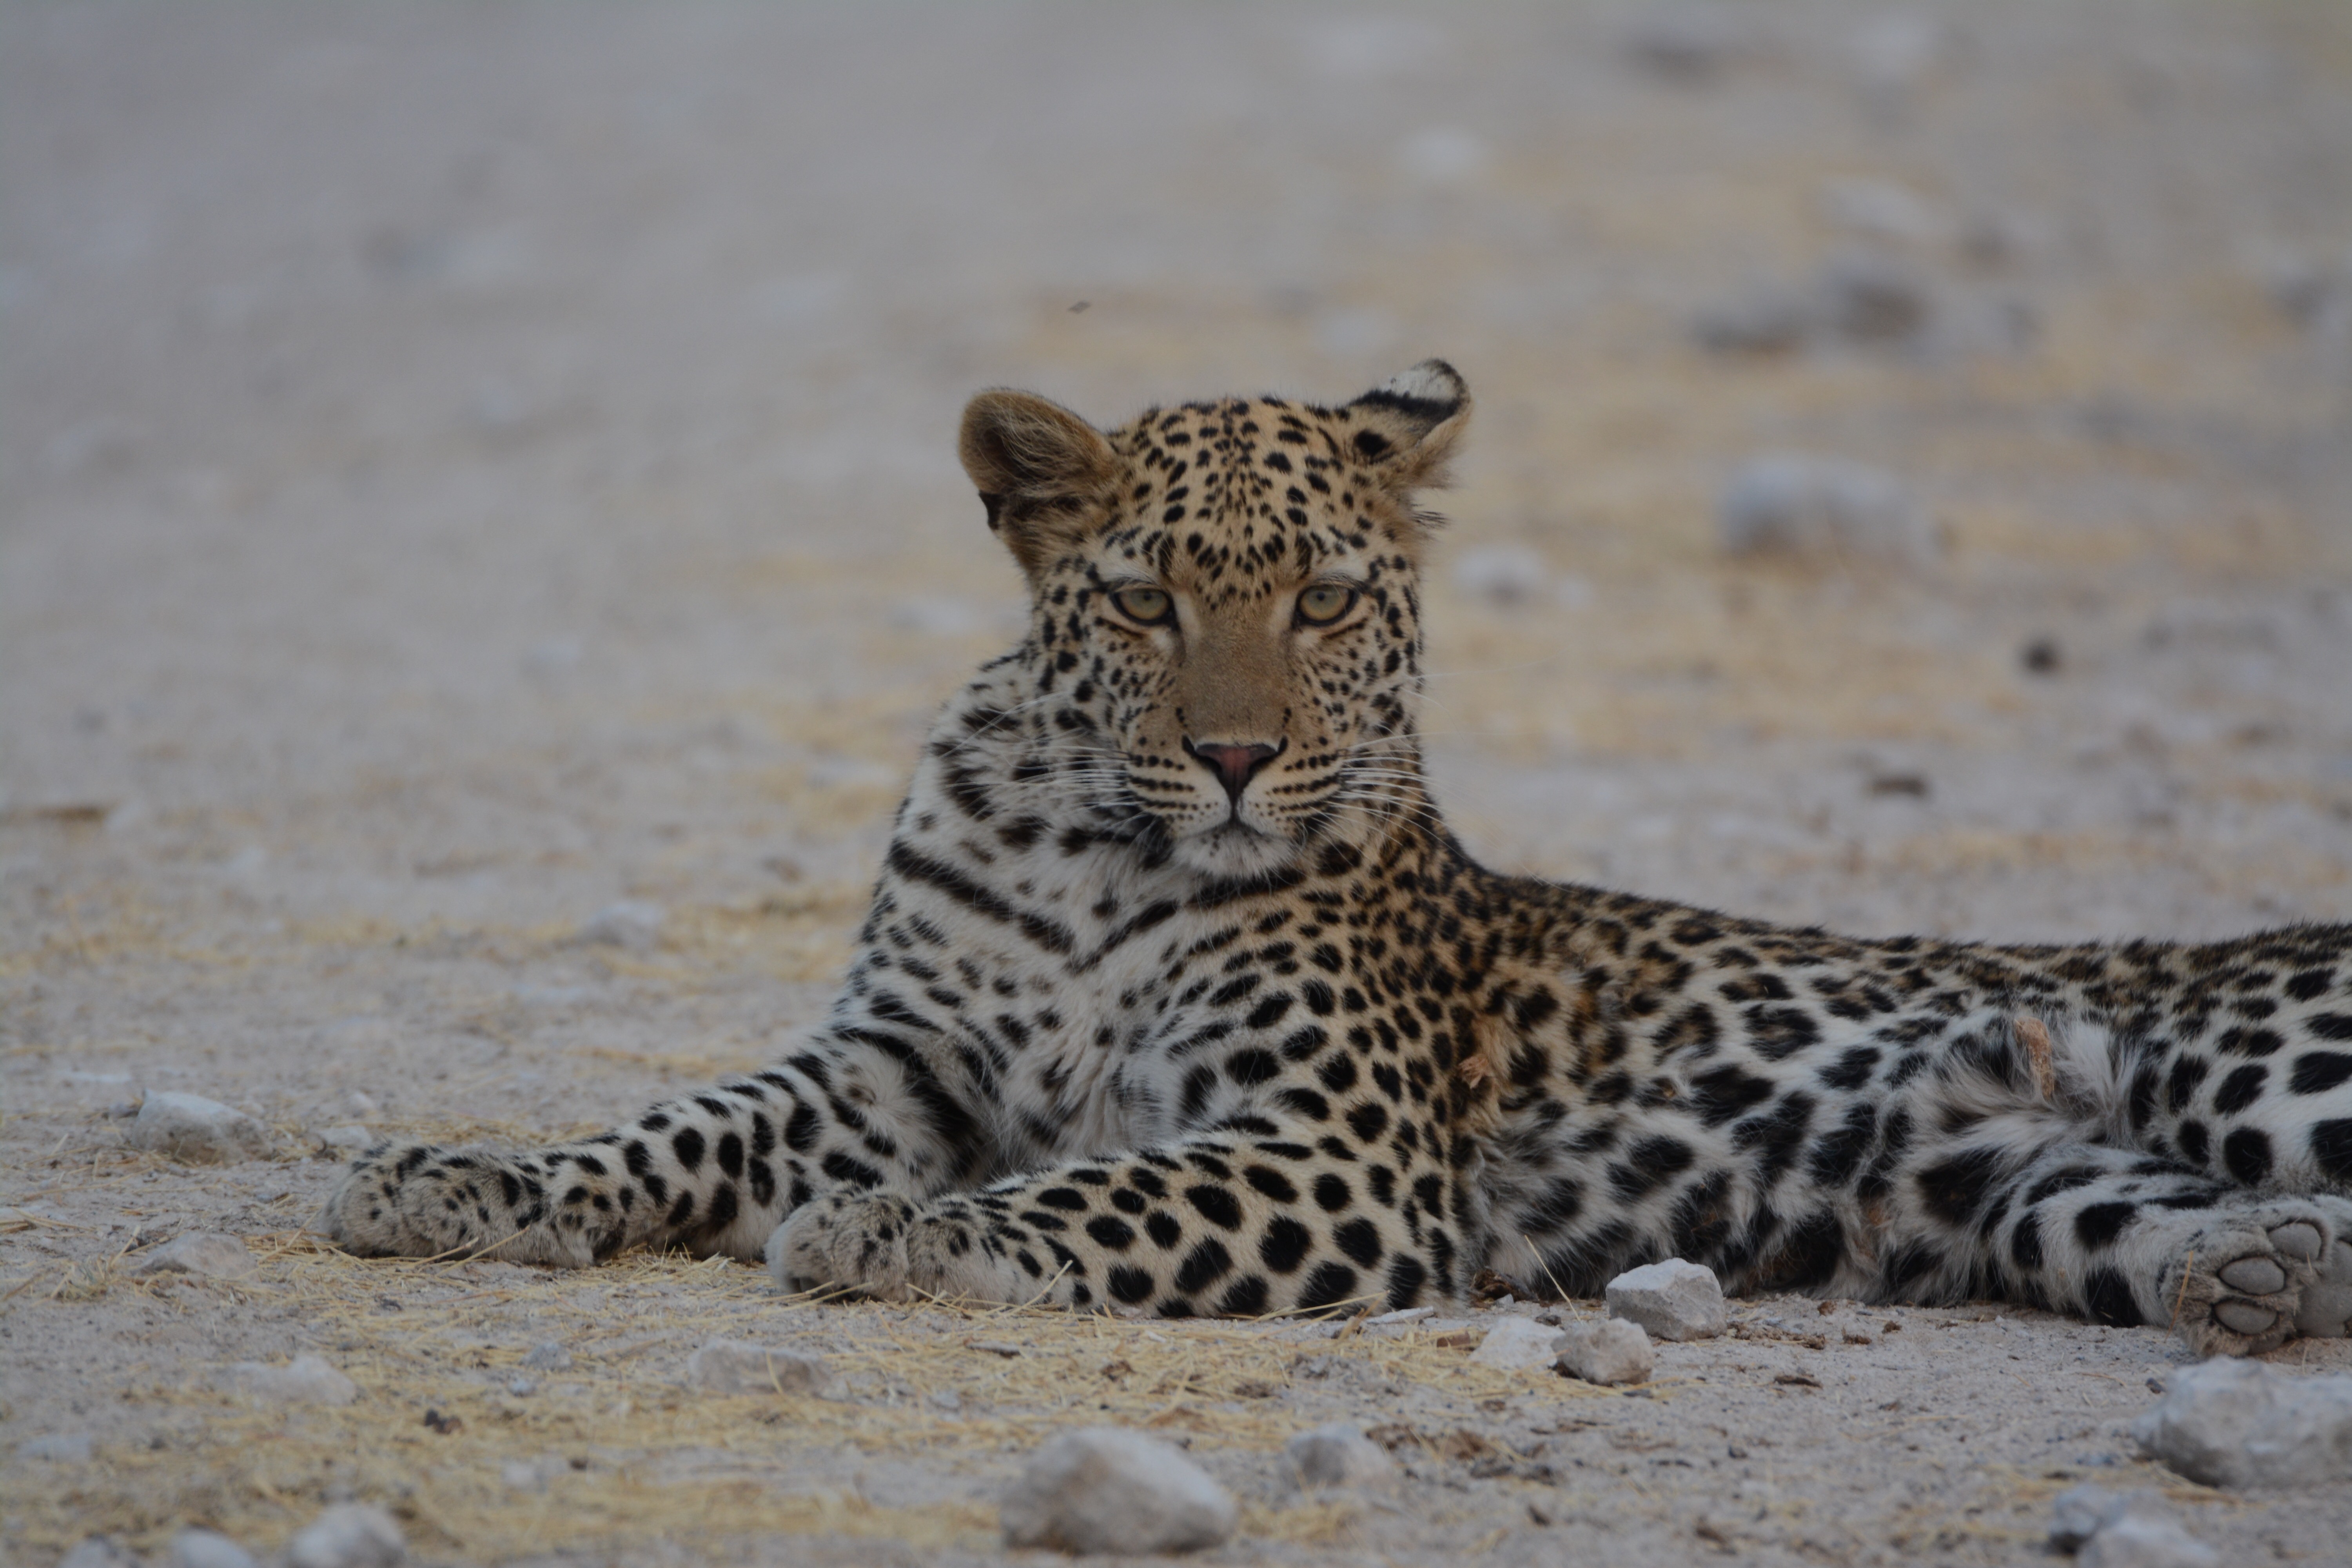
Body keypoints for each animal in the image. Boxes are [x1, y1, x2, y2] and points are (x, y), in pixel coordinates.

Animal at [325, 360, 2352, 1359]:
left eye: (1321, 598)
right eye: (1145, 599)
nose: (1235, 757)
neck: (1088, 849)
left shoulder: (1335, 1147)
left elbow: (1084, 1194)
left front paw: (901, 1233)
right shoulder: (889, 1062)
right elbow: (676, 1121)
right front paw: (459, 1177)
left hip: (2259, 1061)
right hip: (2022, 1192)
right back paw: (2257, 1272)